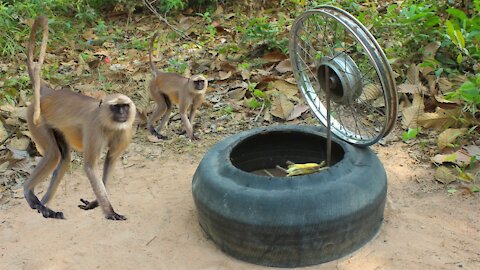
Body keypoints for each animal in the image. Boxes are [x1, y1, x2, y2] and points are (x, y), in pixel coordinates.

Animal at [25, 16, 136, 219]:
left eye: (124, 106)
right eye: (116, 107)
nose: (123, 114)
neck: (108, 124)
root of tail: (48, 93)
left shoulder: (125, 130)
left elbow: (110, 161)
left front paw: (95, 203)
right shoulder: (94, 129)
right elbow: (91, 167)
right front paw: (109, 211)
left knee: (63, 157)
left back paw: (44, 207)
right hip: (35, 119)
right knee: (53, 154)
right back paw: (29, 192)